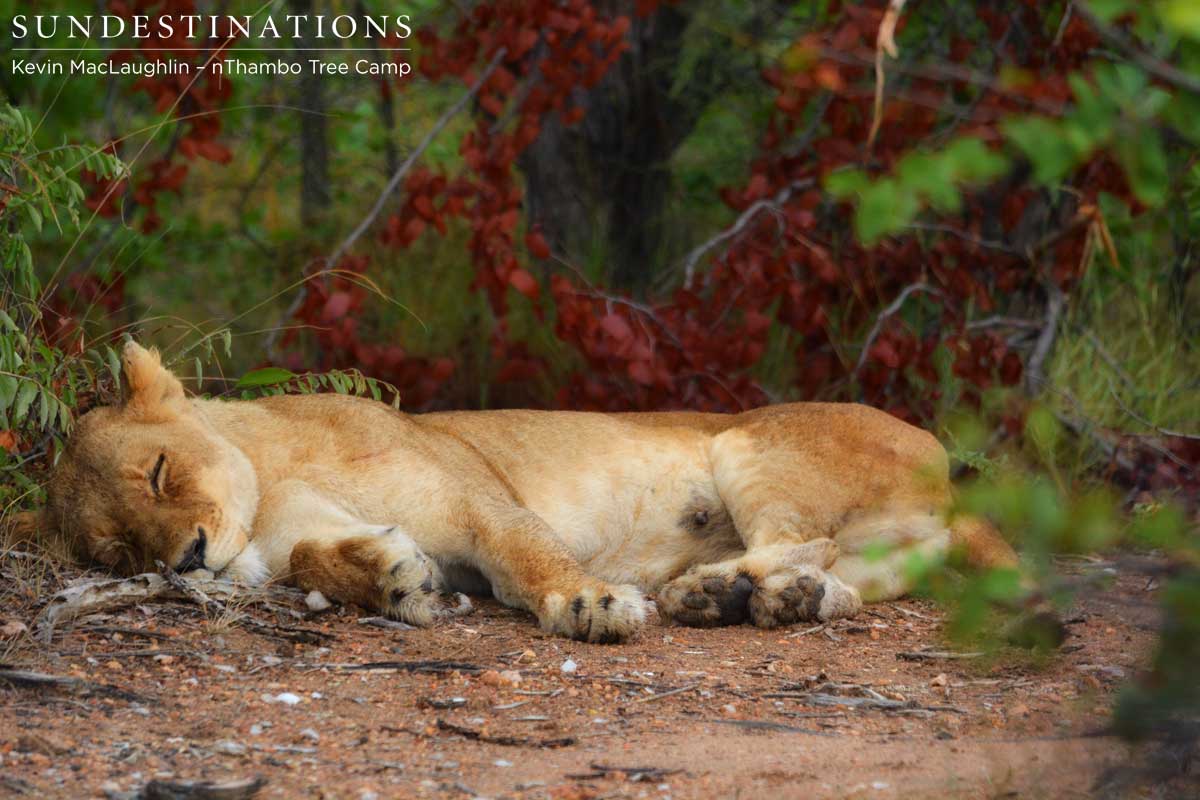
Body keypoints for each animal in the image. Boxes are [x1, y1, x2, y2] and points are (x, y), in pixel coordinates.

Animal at [27, 341, 1017, 642]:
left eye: (159, 472)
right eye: (116, 550)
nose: (188, 559)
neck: (268, 482)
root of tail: (947, 472)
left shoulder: (477, 499)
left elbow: (526, 553)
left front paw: (588, 604)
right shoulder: (297, 531)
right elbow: (314, 556)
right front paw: (393, 577)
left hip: (745, 442)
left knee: (806, 537)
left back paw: (709, 590)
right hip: (889, 544)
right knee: (843, 571)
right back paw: (759, 597)